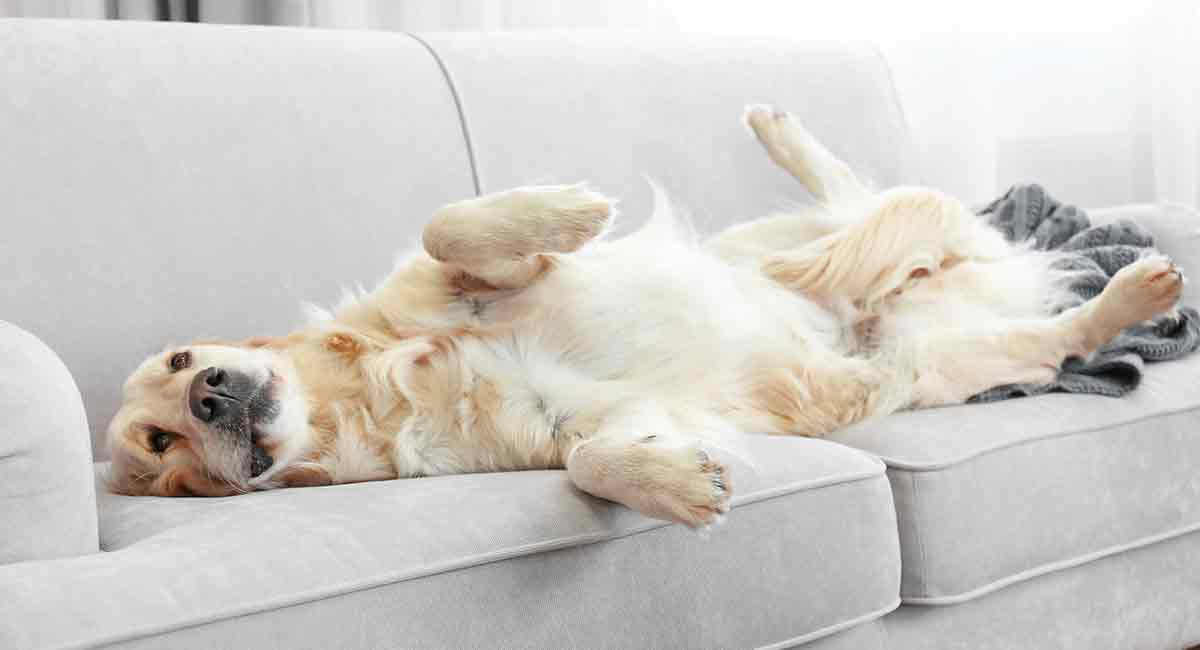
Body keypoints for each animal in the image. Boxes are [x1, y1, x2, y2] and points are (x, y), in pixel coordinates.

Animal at [108, 104, 1185, 527]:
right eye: (160, 448)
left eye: (178, 361)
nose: (211, 395)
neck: (382, 391)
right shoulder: (575, 426)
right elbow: (592, 456)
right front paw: (673, 484)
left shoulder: (438, 287)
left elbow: (449, 225)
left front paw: (567, 212)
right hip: (942, 366)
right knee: (1050, 334)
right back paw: (1132, 293)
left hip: (787, 238)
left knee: (855, 200)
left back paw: (794, 164)